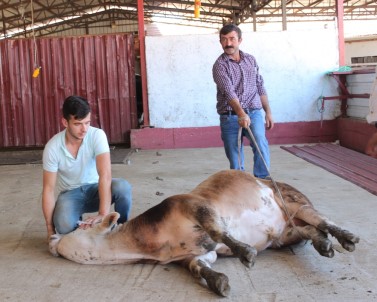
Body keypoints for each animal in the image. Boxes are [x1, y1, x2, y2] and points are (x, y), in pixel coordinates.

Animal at [50, 171, 358, 296]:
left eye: (82, 226)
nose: (53, 239)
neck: (153, 242)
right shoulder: (194, 254)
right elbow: (200, 266)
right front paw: (219, 281)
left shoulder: (195, 205)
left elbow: (219, 230)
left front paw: (245, 252)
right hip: (286, 232)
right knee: (308, 230)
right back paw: (323, 244)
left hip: (293, 201)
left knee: (322, 219)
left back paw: (345, 238)